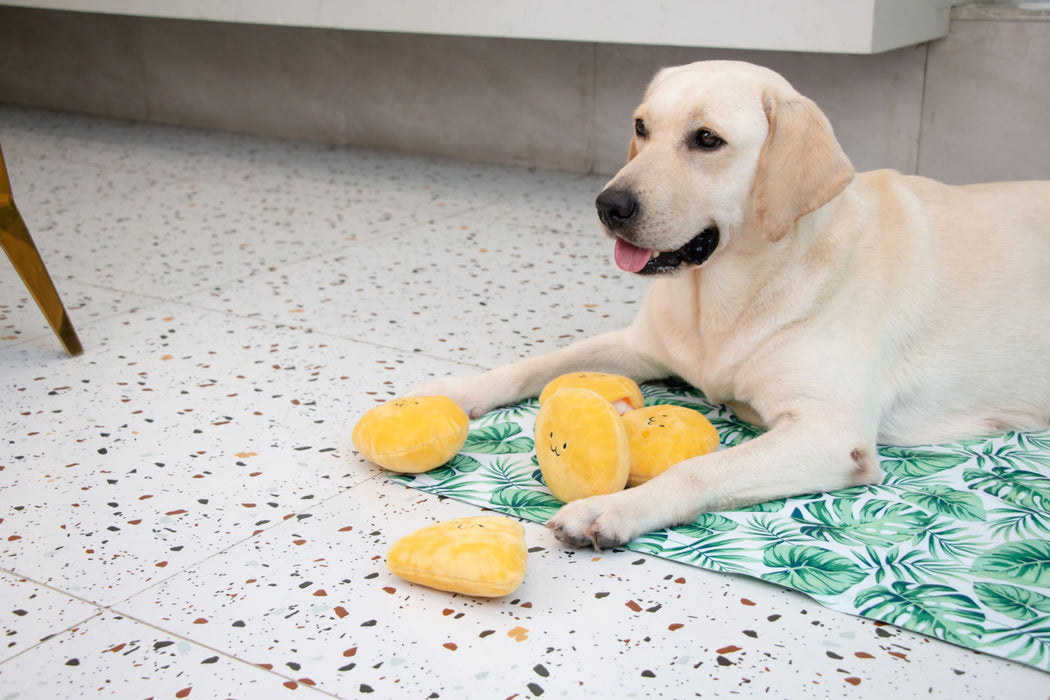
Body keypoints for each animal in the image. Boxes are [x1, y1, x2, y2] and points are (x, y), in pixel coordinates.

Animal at [413, 60, 1050, 549]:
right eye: (642, 127)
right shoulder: (639, 347)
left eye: (706, 140)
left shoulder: (830, 433)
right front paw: (452, 392)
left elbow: (699, 469)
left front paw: (613, 509)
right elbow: (533, 364)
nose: (607, 205)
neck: (727, 296)